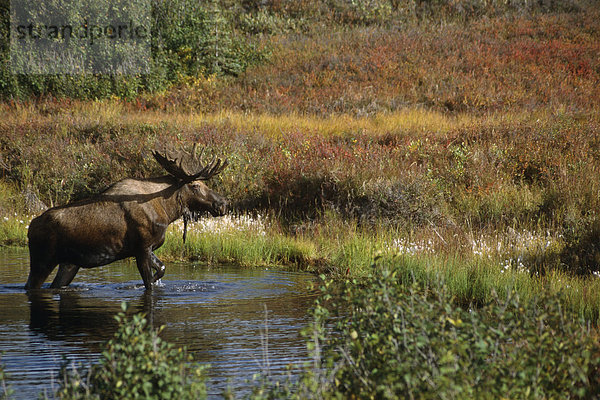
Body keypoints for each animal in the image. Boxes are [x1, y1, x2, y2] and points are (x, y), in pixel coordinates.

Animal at [24, 145, 229, 290]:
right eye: (195, 185)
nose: (222, 204)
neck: (166, 212)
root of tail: (30, 227)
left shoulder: (146, 247)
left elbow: (161, 269)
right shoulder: (142, 247)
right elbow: (149, 282)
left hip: (69, 264)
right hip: (42, 260)